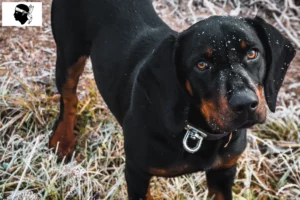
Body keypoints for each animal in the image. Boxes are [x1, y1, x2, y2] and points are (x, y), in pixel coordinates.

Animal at [49, 0, 296, 199]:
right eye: (201, 65)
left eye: (252, 53)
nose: (245, 104)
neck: (197, 132)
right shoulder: (137, 172)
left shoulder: (224, 172)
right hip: (69, 52)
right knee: (69, 96)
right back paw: (63, 140)